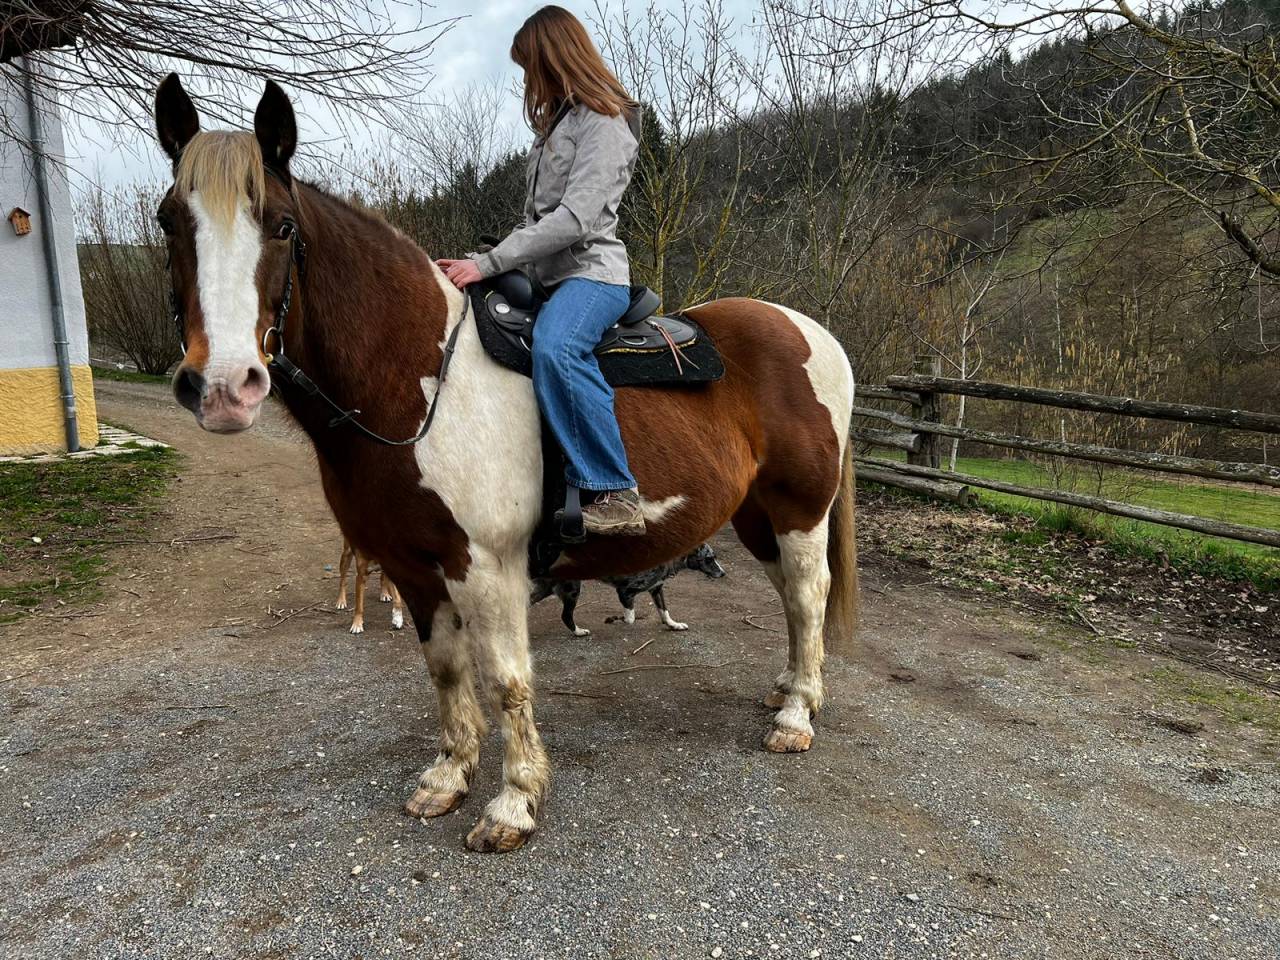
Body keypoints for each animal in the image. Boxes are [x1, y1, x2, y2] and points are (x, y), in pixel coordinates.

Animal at [153, 75, 858, 853]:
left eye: (281, 226)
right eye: (167, 222)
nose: (223, 387)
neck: (420, 376)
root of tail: (811, 331)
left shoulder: (488, 565)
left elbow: (508, 680)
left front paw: (513, 804)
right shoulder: (412, 567)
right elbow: (445, 670)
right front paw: (447, 776)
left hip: (801, 508)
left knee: (807, 594)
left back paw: (796, 717)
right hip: (759, 515)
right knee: (792, 601)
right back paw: (789, 691)